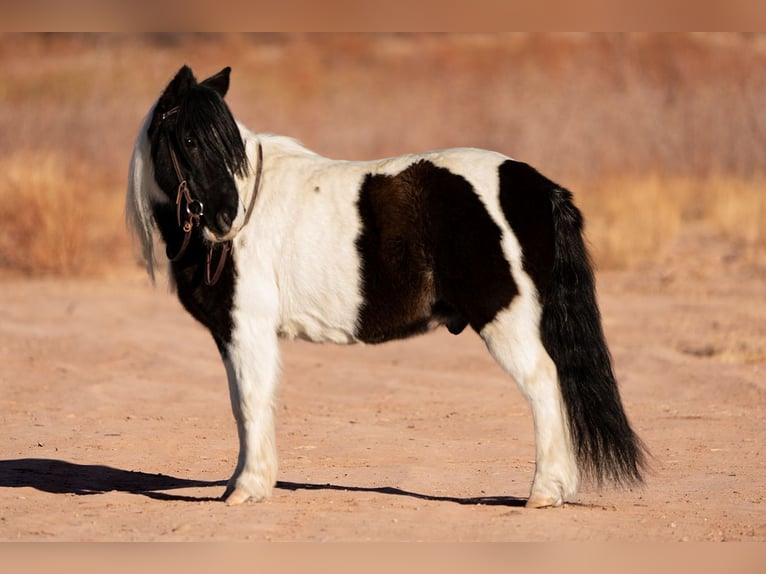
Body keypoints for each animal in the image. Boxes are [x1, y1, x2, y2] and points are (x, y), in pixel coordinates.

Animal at [126, 65, 648, 510]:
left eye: (227, 142)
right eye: (189, 139)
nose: (225, 219)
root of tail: (537, 187)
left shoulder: (247, 328)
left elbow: (250, 401)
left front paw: (247, 488)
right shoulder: (231, 332)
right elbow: (242, 403)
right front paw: (243, 481)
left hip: (506, 318)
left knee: (543, 382)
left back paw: (543, 491)